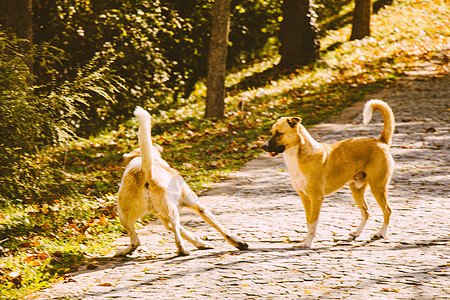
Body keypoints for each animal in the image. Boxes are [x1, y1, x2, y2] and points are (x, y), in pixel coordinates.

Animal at [262, 99, 396, 247]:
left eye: (279, 133)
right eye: (271, 132)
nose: (263, 147)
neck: (299, 156)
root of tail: (380, 141)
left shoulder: (316, 198)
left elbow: (313, 222)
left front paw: (307, 243)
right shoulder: (305, 197)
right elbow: (309, 221)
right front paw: (306, 240)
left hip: (377, 187)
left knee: (387, 210)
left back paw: (381, 233)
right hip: (356, 190)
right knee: (366, 211)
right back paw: (356, 233)